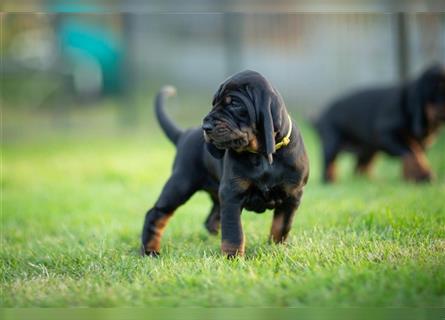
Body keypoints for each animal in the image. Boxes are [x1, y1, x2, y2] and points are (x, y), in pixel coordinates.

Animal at [141, 70, 308, 258]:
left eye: (234, 103)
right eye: (214, 103)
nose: (205, 126)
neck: (262, 156)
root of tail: (184, 134)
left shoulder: (292, 195)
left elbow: (282, 226)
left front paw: (277, 248)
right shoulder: (231, 193)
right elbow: (234, 231)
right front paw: (233, 257)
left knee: (210, 219)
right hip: (181, 184)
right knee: (156, 214)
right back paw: (150, 251)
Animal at [316, 63, 444, 182]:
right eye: (438, 88)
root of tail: (323, 113)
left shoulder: (422, 143)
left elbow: (418, 154)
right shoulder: (385, 134)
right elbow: (411, 153)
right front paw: (423, 176)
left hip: (368, 150)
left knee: (360, 167)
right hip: (332, 143)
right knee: (330, 165)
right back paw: (330, 180)